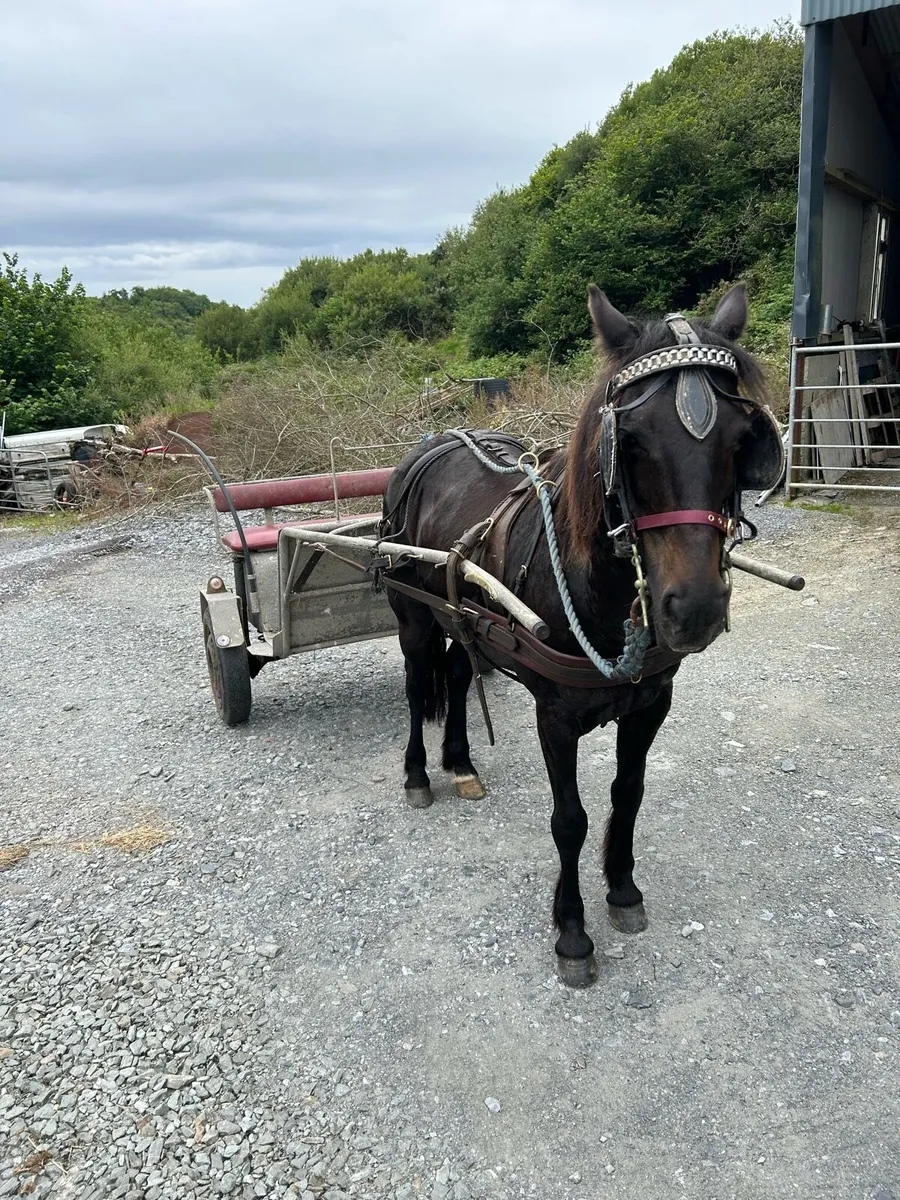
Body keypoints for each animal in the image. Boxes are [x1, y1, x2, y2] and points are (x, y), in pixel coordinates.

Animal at [380, 283, 784, 987]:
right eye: (632, 441)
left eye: (743, 440)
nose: (695, 609)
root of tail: (434, 443)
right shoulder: (555, 716)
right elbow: (569, 819)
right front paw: (572, 931)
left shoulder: (650, 704)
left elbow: (629, 793)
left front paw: (622, 889)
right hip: (414, 615)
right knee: (415, 684)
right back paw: (419, 774)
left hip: (467, 616)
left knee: (457, 672)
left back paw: (460, 761)